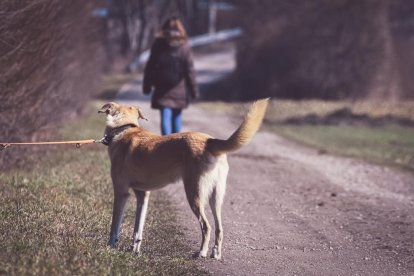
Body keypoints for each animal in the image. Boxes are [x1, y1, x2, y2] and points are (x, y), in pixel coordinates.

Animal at [99, 98, 270, 258]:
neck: (125, 129)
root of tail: (209, 141)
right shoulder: (143, 195)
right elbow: (138, 229)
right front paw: (134, 250)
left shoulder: (121, 192)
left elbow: (115, 225)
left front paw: (109, 247)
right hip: (215, 198)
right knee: (219, 228)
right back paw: (216, 253)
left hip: (194, 194)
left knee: (206, 226)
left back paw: (201, 252)